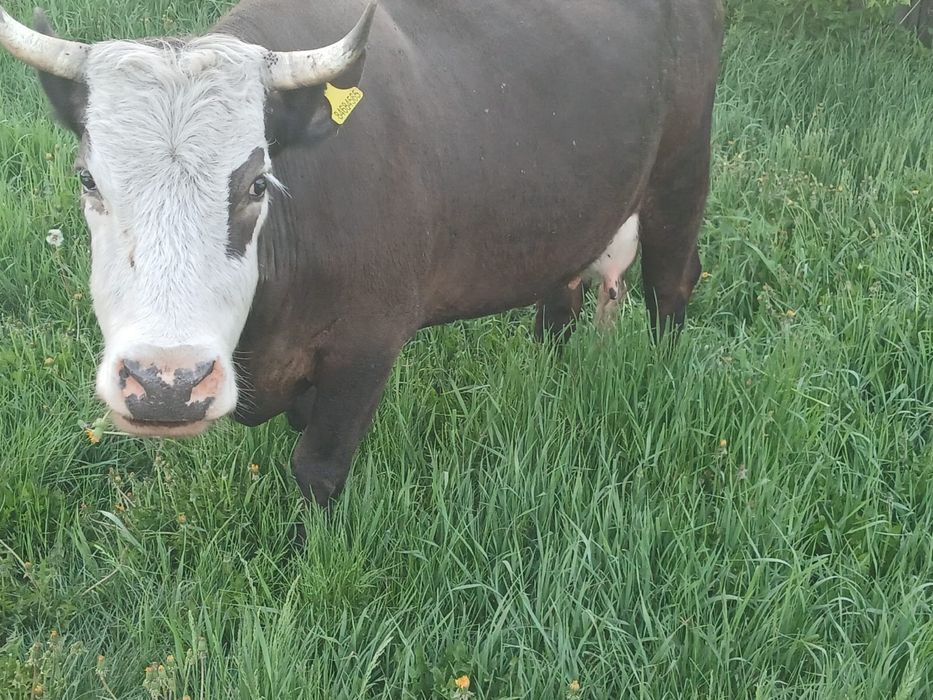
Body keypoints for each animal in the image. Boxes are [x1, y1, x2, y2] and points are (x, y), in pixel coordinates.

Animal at [0, 0, 725, 506]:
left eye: (257, 183)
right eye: (87, 179)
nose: (165, 383)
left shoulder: (367, 345)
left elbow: (317, 467)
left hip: (680, 173)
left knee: (670, 284)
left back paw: (662, 375)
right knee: (561, 298)